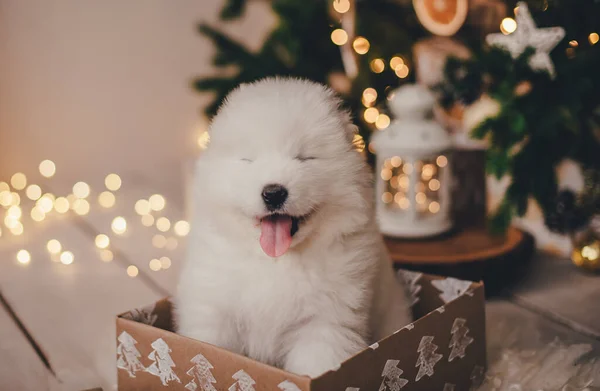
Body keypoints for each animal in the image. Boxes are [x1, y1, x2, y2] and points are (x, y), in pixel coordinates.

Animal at [176, 77, 412, 380]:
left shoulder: (324, 326)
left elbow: (315, 366)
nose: (273, 193)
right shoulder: (214, 314)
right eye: (248, 160)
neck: (275, 261)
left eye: (305, 158)